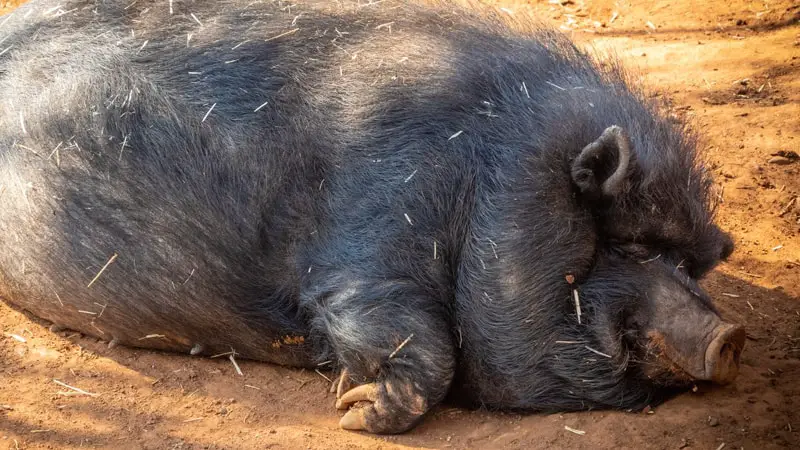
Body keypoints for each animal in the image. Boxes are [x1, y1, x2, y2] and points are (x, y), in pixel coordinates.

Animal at [0, 0, 744, 436]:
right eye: (635, 245)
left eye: (691, 262)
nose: (730, 336)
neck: (489, 179)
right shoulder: (373, 235)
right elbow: (411, 335)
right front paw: (351, 411)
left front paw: (351, 404)